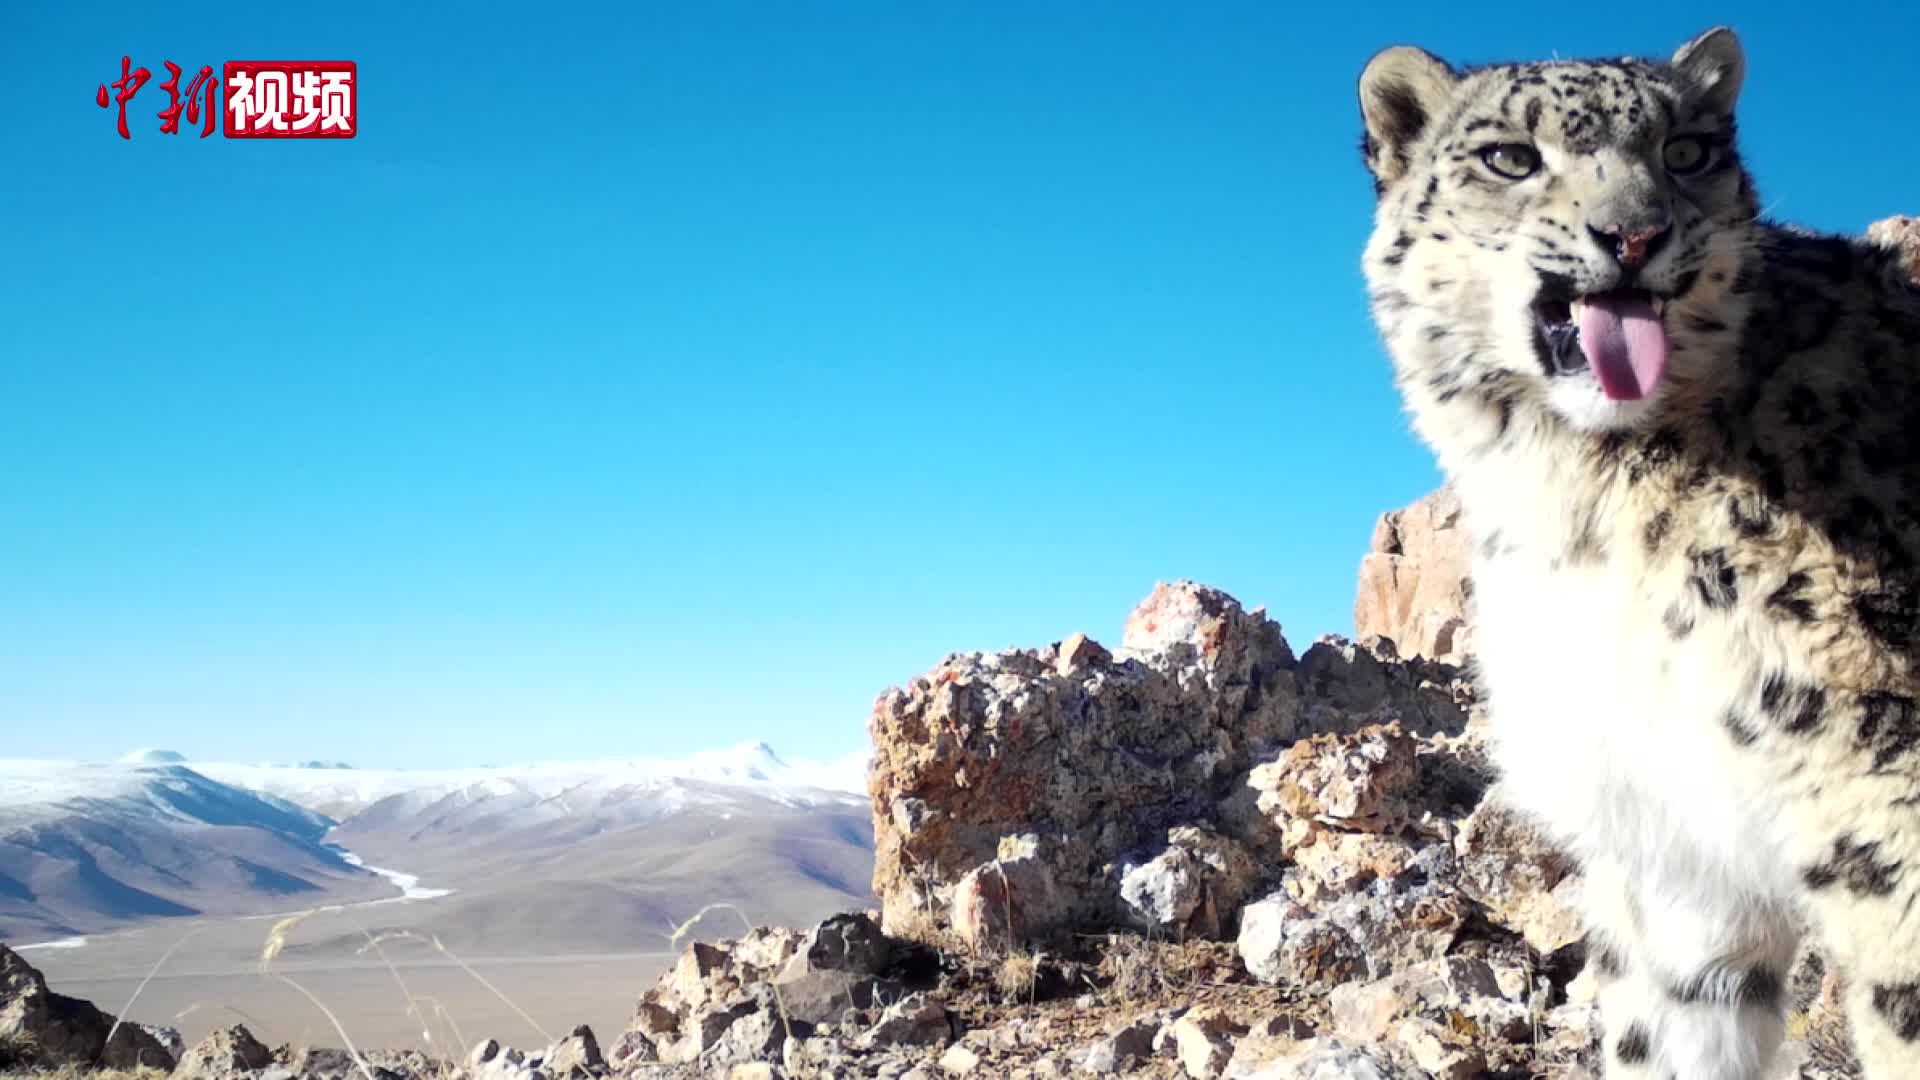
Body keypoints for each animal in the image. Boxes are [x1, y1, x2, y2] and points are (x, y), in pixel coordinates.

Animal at [1359, 25, 1920, 1076]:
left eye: (1688, 152)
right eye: (1511, 157)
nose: (1633, 235)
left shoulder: (1883, 789)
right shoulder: (1669, 831)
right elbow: (1671, 1025)